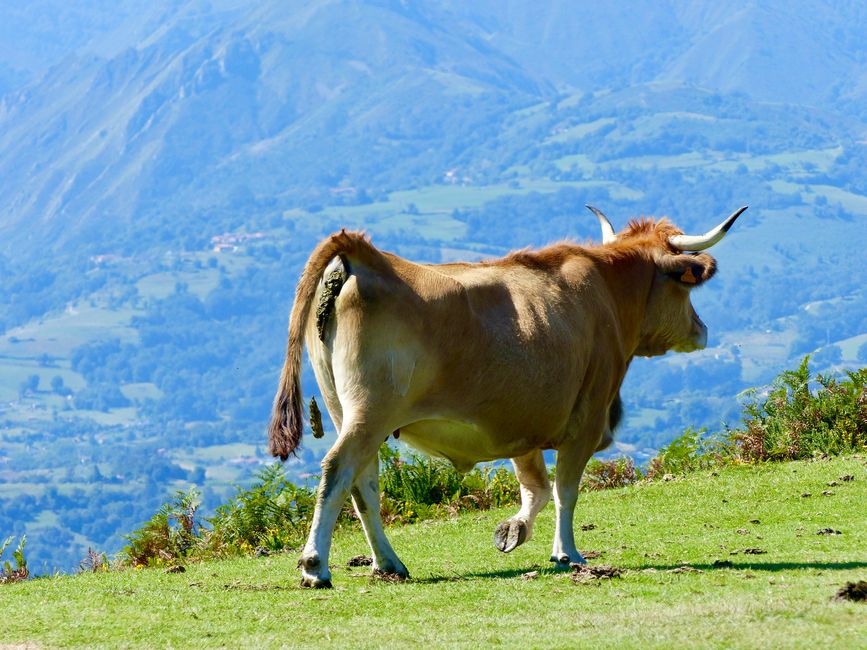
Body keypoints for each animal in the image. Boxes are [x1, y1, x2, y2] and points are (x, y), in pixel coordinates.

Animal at [270, 204, 744, 588]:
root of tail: (363, 254)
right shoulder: (587, 420)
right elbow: (565, 489)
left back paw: (388, 563)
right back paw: (316, 566)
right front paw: (567, 553)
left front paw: (513, 530)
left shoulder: (521, 425)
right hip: (371, 412)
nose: (702, 330)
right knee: (339, 470)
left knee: (363, 482)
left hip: (345, 410)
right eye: (685, 287)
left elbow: (536, 487)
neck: (606, 291)